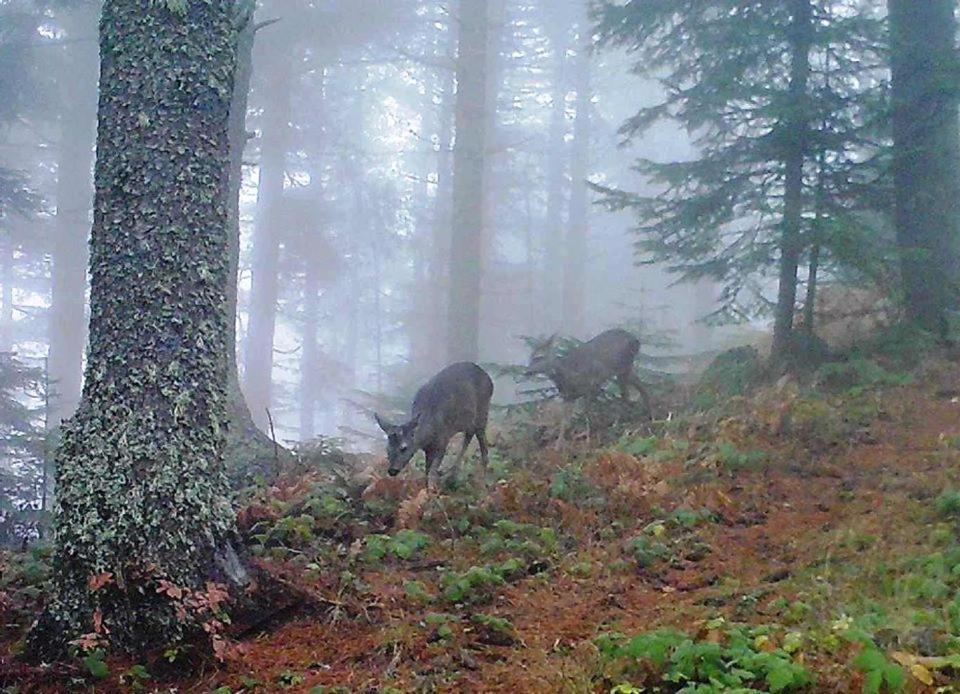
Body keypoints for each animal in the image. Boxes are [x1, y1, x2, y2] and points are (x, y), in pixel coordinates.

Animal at [376, 362, 496, 492]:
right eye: (387, 448)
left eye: (404, 447)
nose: (392, 470)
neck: (429, 432)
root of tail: (488, 378)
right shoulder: (428, 449)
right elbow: (427, 471)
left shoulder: (442, 441)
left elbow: (431, 473)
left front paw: (432, 490)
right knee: (469, 435)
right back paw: (453, 473)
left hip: (482, 412)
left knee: (483, 445)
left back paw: (482, 481)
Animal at [524, 330, 652, 440]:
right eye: (530, 358)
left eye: (539, 357)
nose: (527, 371)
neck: (566, 374)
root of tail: (635, 339)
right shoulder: (568, 396)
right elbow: (565, 422)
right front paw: (558, 443)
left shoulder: (593, 383)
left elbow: (587, 410)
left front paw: (587, 431)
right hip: (625, 369)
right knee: (636, 389)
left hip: (622, 366)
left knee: (628, 393)